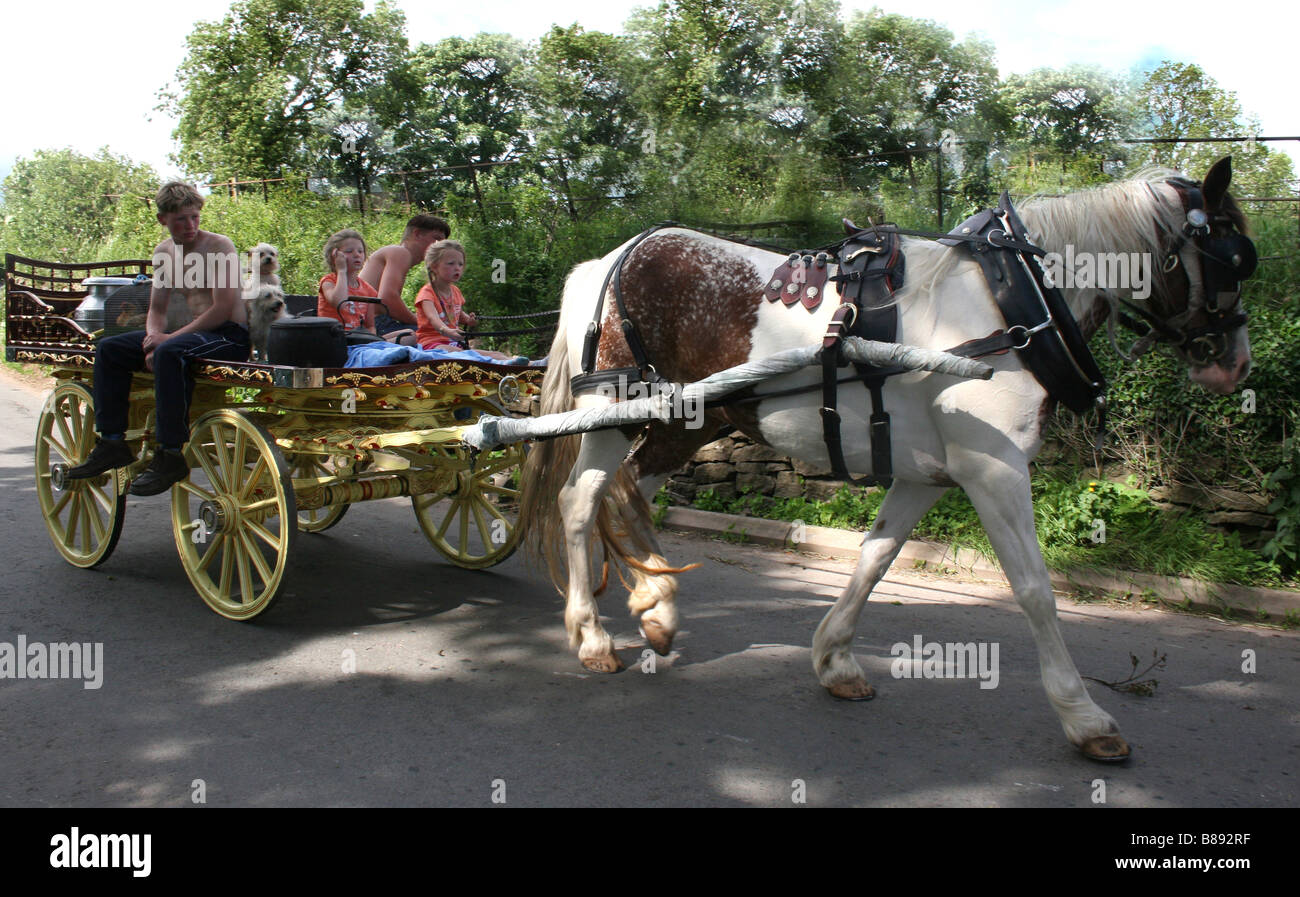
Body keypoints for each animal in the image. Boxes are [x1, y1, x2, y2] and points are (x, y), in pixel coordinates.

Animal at [512, 157, 1253, 759]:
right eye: (1235, 257)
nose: (1237, 364)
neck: (1011, 305)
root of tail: (605, 262)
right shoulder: (994, 469)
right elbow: (1035, 589)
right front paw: (1085, 716)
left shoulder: (927, 475)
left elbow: (875, 559)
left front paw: (834, 660)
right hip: (617, 410)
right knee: (581, 499)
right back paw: (592, 636)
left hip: (688, 420)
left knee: (628, 492)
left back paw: (655, 606)